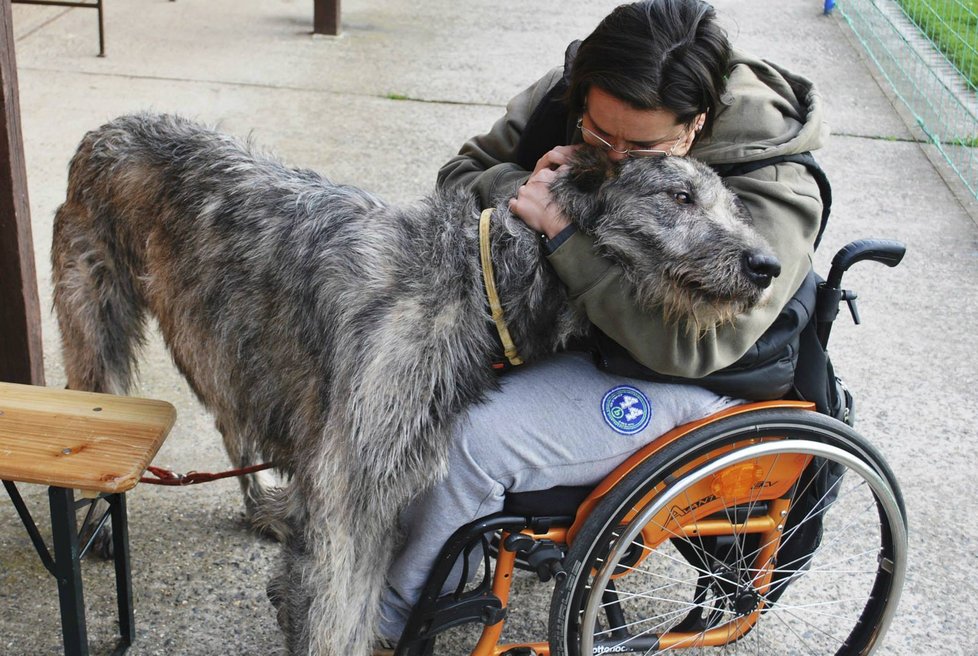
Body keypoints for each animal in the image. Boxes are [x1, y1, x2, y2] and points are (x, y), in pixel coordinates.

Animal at [53, 113, 780, 652]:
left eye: (732, 205)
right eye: (678, 197)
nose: (767, 265)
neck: (480, 279)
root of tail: (103, 130)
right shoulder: (357, 480)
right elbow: (338, 609)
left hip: (225, 337)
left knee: (234, 418)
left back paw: (263, 506)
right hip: (101, 308)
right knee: (98, 394)